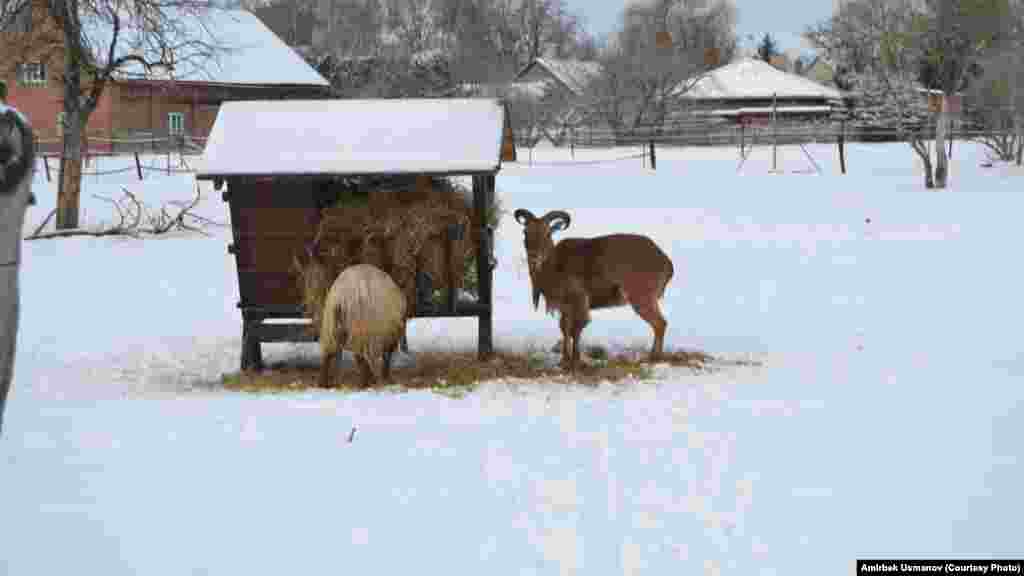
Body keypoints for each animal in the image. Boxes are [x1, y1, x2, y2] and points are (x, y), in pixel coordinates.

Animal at [516, 208, 675, 368]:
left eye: (548, 233)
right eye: (525, 232)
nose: (534, 256)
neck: (555, 266)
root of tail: (666, 262)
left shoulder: (579, 300)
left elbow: (576, 329)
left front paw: (575, 360)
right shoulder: (565, 306)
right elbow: (564, 328)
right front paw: (564, 360)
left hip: (642, 297)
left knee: (660, 323)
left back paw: (654, 357)